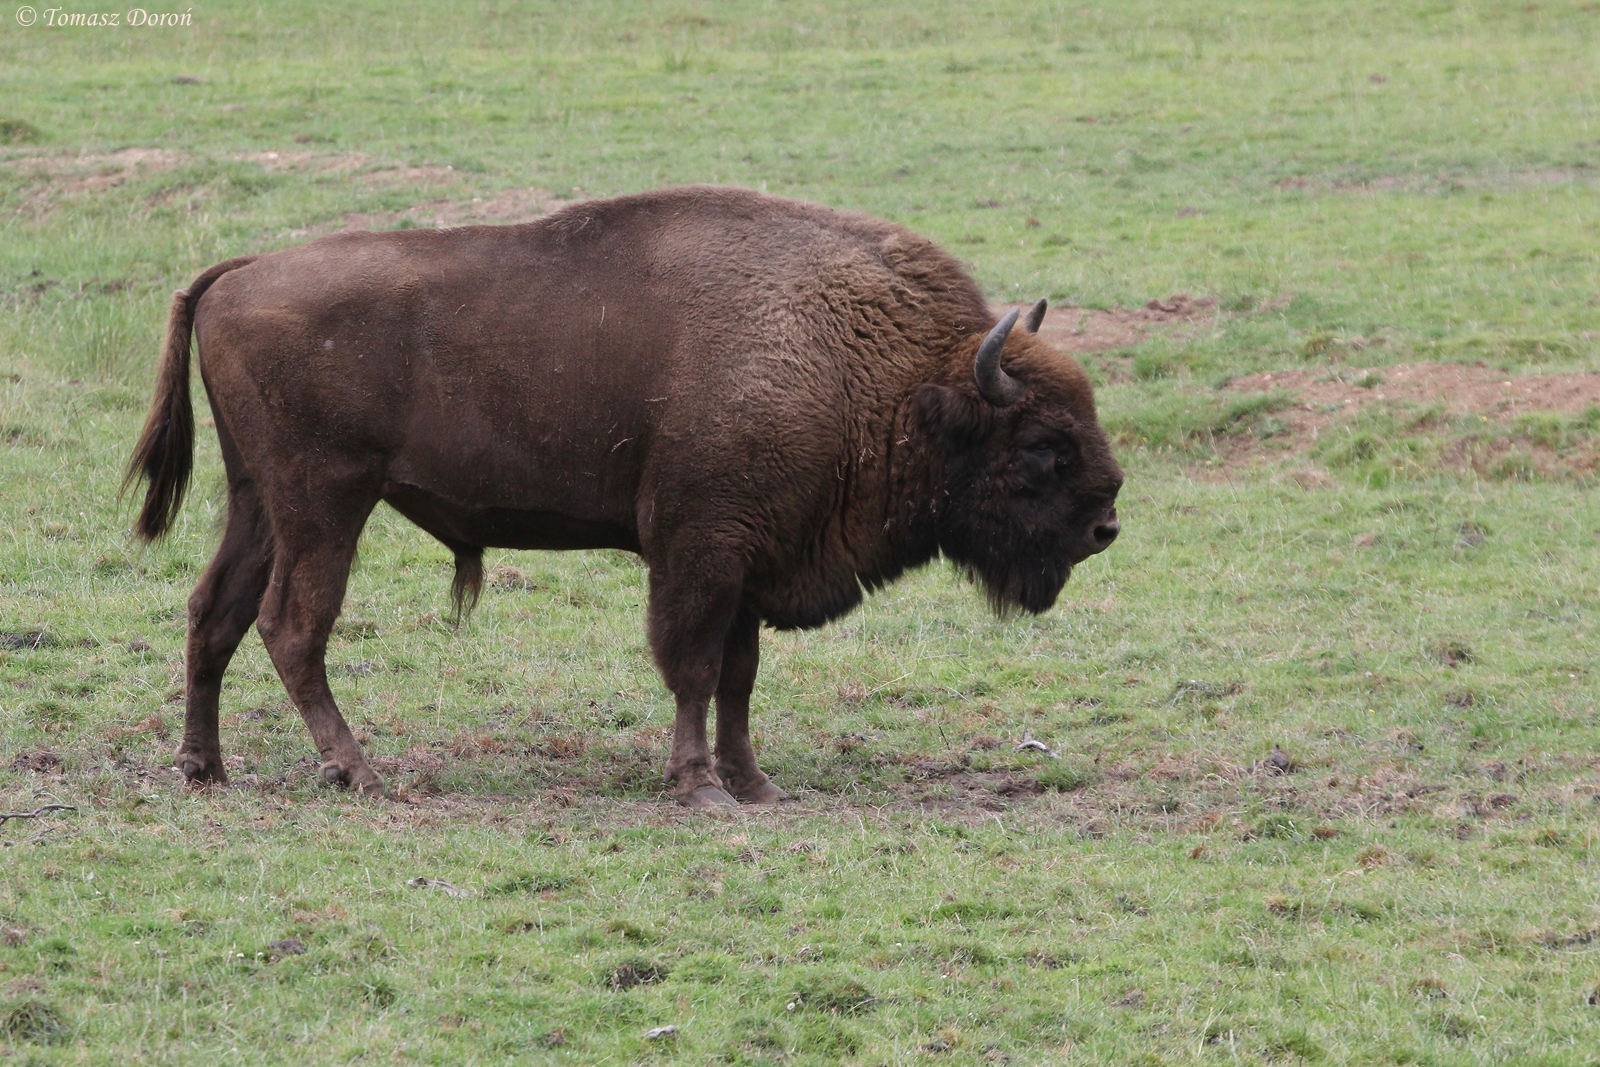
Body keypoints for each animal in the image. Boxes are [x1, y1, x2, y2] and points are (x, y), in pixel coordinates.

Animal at [126, 186, 1122, 808]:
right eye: (1044, 445)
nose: (1106, 523)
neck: (878, 370)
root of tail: (238, 272)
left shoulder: (747, 564)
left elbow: (738, 679)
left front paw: (757, 784)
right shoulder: (700, 553)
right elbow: (692, 670)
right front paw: (702, 787)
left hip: (257, 501)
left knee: (214, 612)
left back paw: (205, 768)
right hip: (325, 505)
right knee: (292, 626)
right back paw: (360, 773)